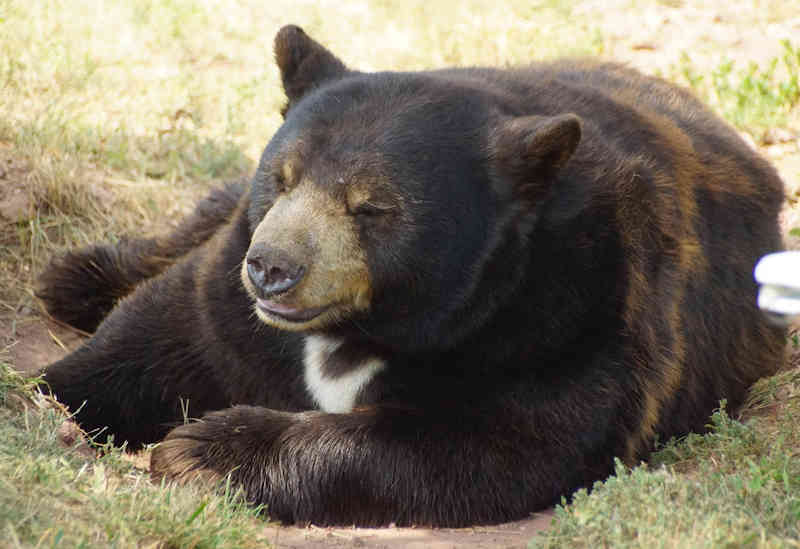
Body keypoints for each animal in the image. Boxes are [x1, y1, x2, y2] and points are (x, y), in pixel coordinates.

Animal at [38, 25, 786, 527]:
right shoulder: (232, 290)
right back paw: (76, 276)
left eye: (370, 206)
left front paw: (202, 449)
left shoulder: (573, 310)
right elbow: (170, 333)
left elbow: (484, 442)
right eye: (282, 177)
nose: (272, 269)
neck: (374, 321)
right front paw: (51, 395)